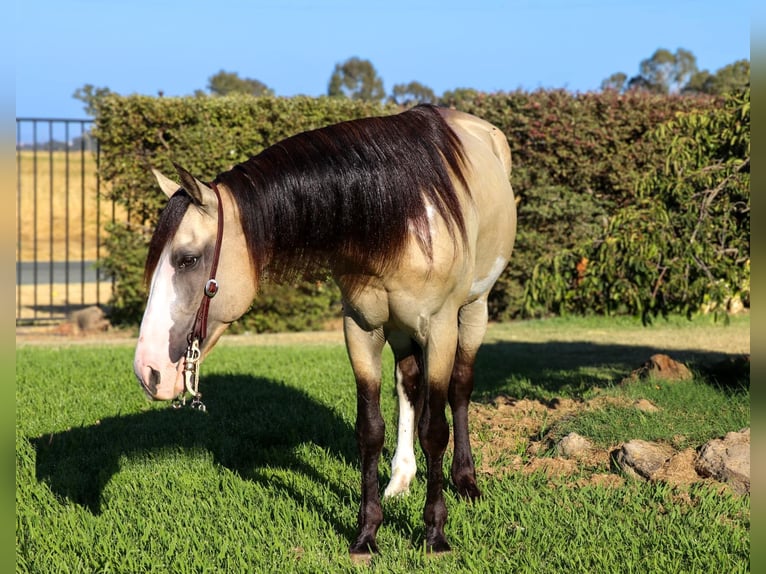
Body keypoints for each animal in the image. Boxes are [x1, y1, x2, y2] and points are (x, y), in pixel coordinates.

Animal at [133, 104, 516, 556]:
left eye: (188, 259)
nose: (148, 371)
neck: (400, 218)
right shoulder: (361, 328)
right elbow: (370, 430)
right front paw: (367, 534)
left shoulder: (439, 329)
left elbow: (435, 430)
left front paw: (435, 535)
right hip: (400, 329)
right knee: (409, 384)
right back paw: (401, 478)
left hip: (474, 311)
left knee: (459, 388)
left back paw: (466, 480)